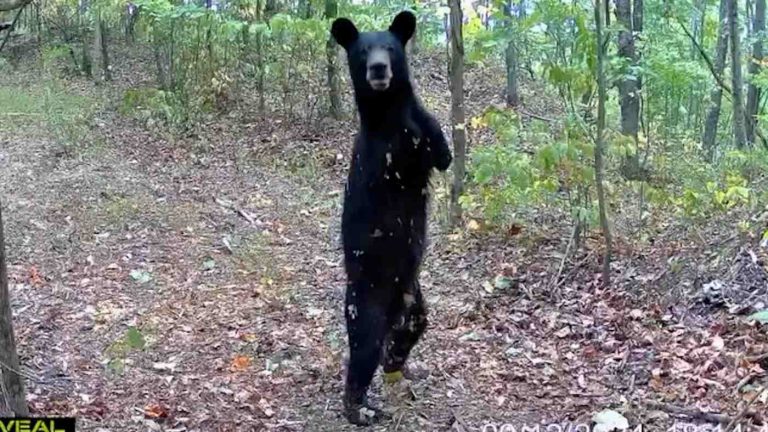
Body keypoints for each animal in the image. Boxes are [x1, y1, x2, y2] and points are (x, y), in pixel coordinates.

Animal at [330, 10, 450, 426]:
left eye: (391, 48)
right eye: (363, 51)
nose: (379, 68)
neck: (387, 110)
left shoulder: (421, 128)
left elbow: (440, 149)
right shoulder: (383, 154)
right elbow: (401, 156)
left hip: (413, 297)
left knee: (410, 329)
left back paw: (399, 365)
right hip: (368, 297)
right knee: (364, 349)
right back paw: (360, 408)